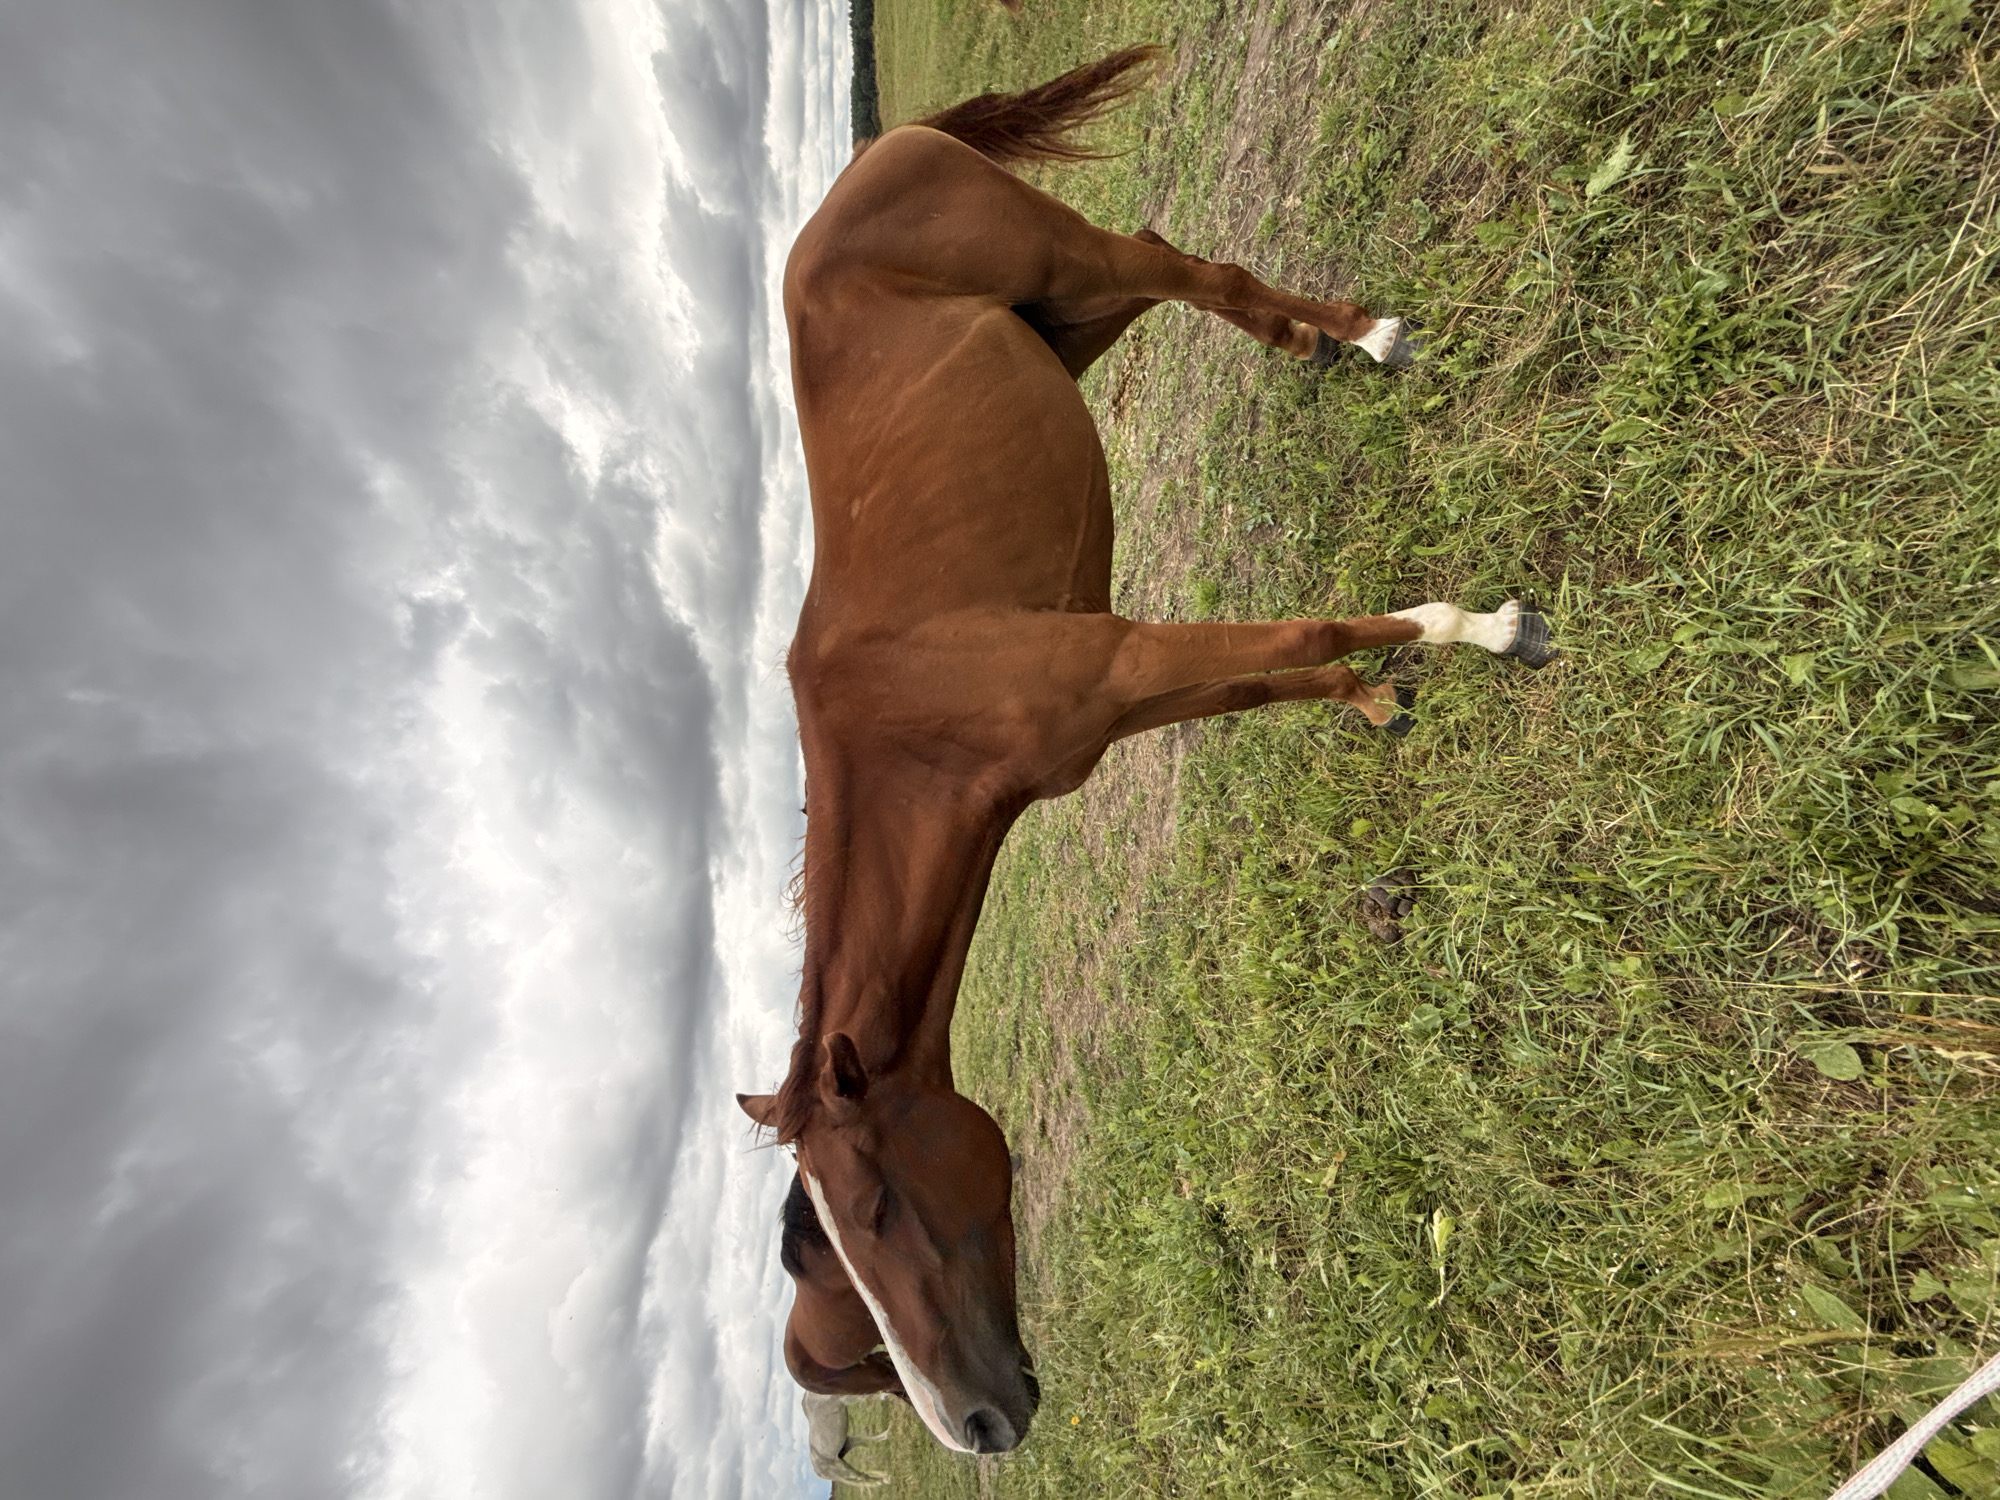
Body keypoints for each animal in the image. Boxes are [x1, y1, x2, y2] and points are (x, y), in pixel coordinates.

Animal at [739, 46, 1555, 1455]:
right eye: (835, 1252)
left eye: (874, 1211)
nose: (974, 1424)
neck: (910, 718)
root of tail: (875, 156)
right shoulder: (1118, 704)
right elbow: (1267, 676)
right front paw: (1369, 702)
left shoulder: (1118, 662)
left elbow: (1308, 624)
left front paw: (1484, 628)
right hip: (1068, 322)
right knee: (1177, 270)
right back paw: (1316, 345)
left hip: (1071, 268)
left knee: (1188, 268)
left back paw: (1363, 335)